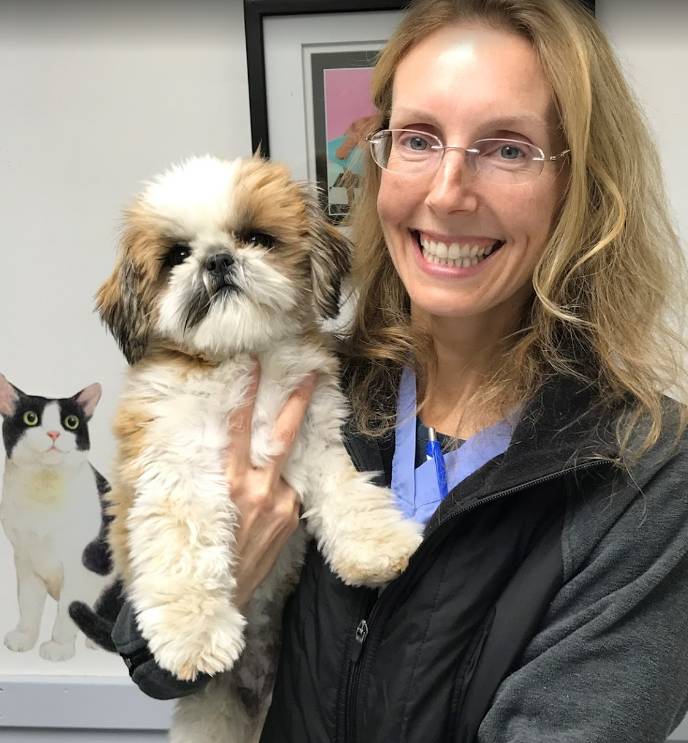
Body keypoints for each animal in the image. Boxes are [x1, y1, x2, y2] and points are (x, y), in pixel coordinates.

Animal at [0, 374, 111, 660]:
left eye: (71, 422)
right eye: (30, 418)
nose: (53, 433)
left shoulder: (81, 567)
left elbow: (67, 613)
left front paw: (59, 648)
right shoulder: (25, 559)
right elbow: (28, 604)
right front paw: (24, 638)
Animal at [95, 154, 420, 740]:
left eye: (256, 238)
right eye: (177, 257)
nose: (218, 260)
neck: (240, 357)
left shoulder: (312, 425)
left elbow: (344, 487)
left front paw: (373, 544)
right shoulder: (172, 458)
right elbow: (184, 541)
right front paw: (195, 633)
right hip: (211, 714)